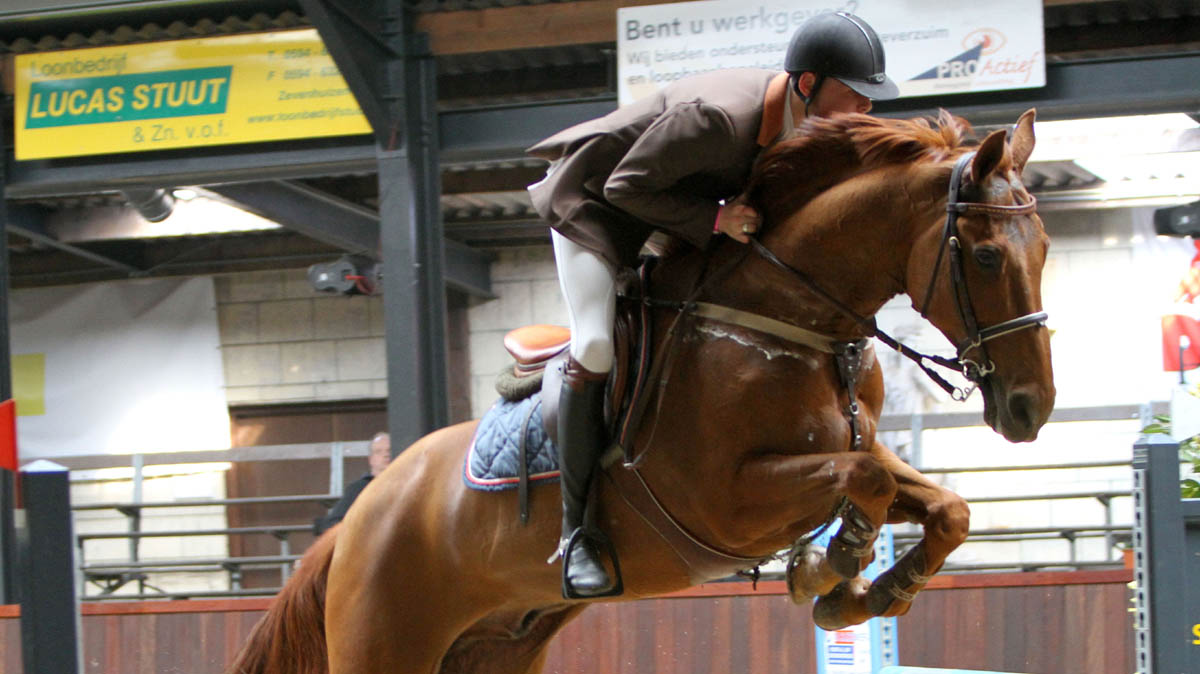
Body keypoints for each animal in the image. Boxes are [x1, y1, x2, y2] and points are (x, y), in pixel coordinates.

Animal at [225, 107, 1051, 666]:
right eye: (983, 256)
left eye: (1042, 246)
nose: (1029, 409)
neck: (788, 319)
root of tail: (354, 520)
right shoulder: (727, 502)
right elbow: (867, 481)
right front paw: (832, 567)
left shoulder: (853, 448)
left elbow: (941, 505)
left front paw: (876, 589)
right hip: (386, 640)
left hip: (494, 645)